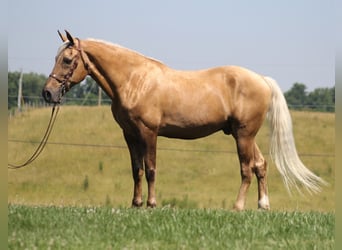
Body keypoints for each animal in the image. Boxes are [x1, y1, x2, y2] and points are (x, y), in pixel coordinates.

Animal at [41, 31, 324, 211]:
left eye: (67, 60)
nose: (48, 93)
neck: (135, 80)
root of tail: (261, 79)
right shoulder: (130, 135)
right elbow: (137, 170)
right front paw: (135, 204)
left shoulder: (148, 132)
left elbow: (151, 169)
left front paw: (151, 204)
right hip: (243, 134)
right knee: (260, 165)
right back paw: (262, 205)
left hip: (244, 135)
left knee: (246, 169)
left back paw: (238, 206)